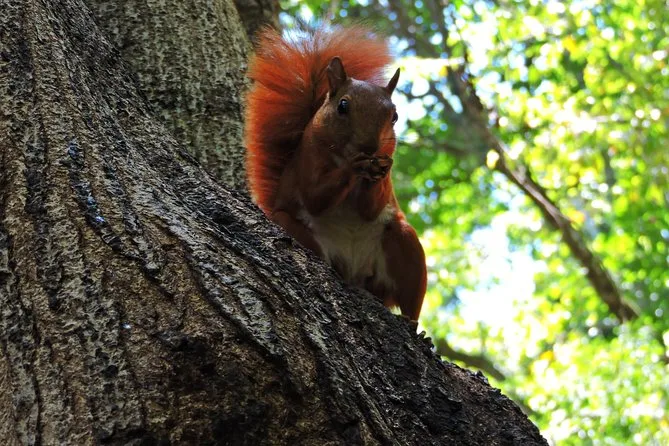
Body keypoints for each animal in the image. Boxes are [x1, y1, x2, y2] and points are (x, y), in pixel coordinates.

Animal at [244, 26, 427, 321]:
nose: (370, 147)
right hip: (295, 229)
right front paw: (353, 165)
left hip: (404, 245)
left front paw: (381, 167)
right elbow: (315, 198)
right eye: (342, 106)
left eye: (395, 116)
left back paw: (414, 326)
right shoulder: (307, 160)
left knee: (410, 301)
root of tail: (355, 273)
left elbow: (371, 209)